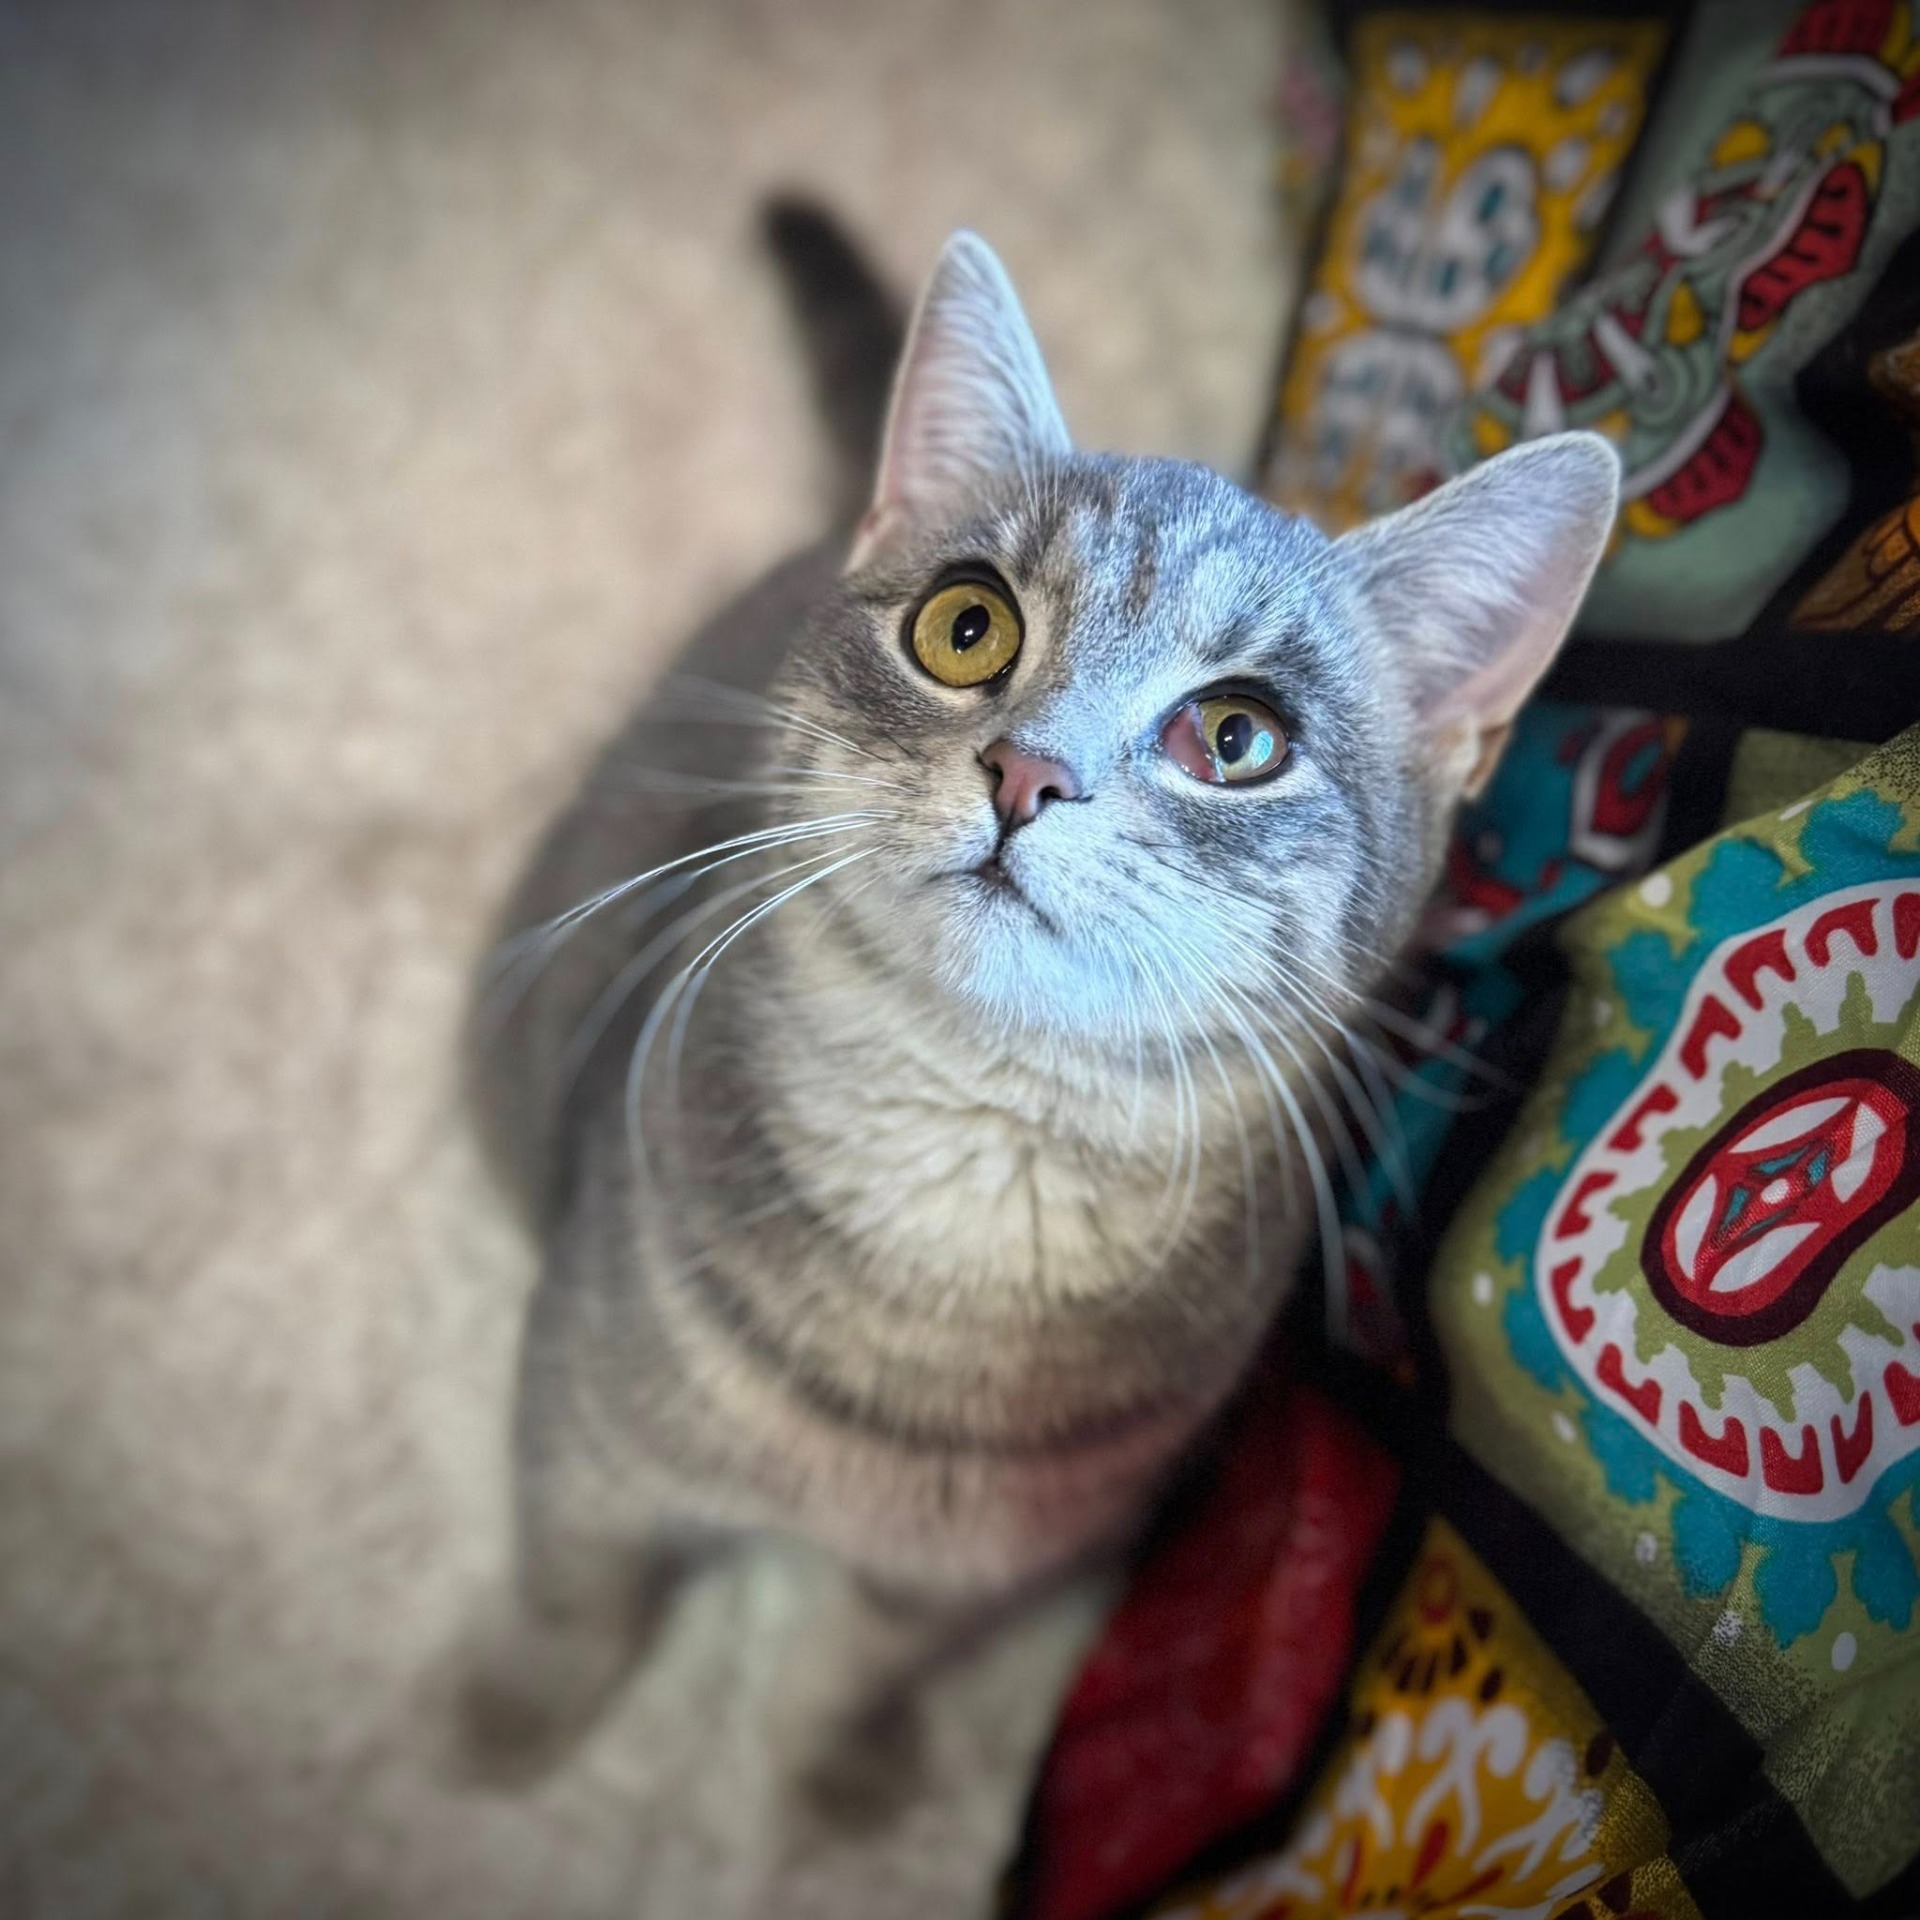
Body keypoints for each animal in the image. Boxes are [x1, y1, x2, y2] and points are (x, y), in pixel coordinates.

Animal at [458, 200, 1619, 1813]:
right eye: (966, 628)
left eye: (1238, 738)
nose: (1027, 772)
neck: (968, 1171)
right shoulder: (579, 1423)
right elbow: (571, 1595)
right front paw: (515, 1719)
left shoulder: (964, 1577)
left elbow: (852, 1669)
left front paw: (825, 1775)